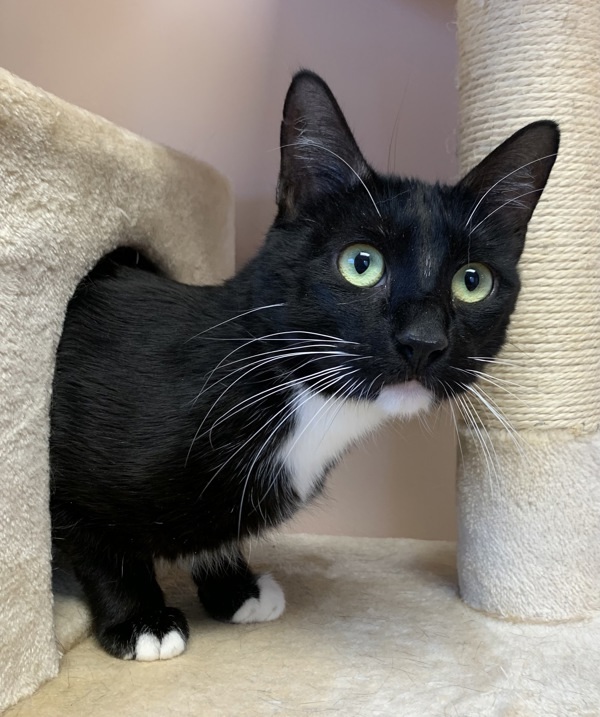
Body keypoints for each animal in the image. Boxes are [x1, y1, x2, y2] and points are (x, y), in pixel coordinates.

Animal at [49, 71, 560, 660]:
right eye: (361, 263)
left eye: (473, 281)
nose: (423, 341)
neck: (301, 404)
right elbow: (96, 540)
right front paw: (141, 620)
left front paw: (235, 588)